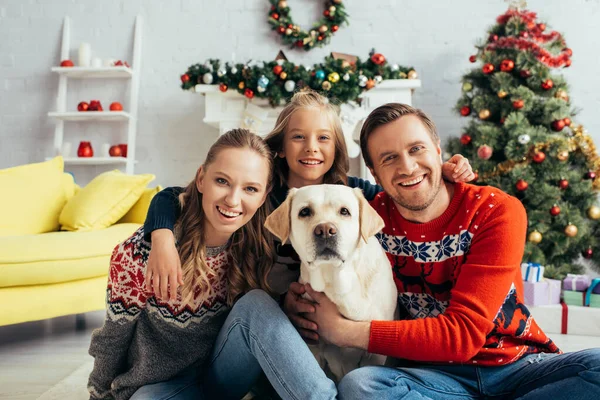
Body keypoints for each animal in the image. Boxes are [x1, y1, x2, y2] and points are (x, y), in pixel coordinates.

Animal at [264, 184, 396, 382]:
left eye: (344, 211)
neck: (336, 281)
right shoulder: (314, 345)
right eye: (304, 211)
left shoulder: (375, 354)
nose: (325, 230)